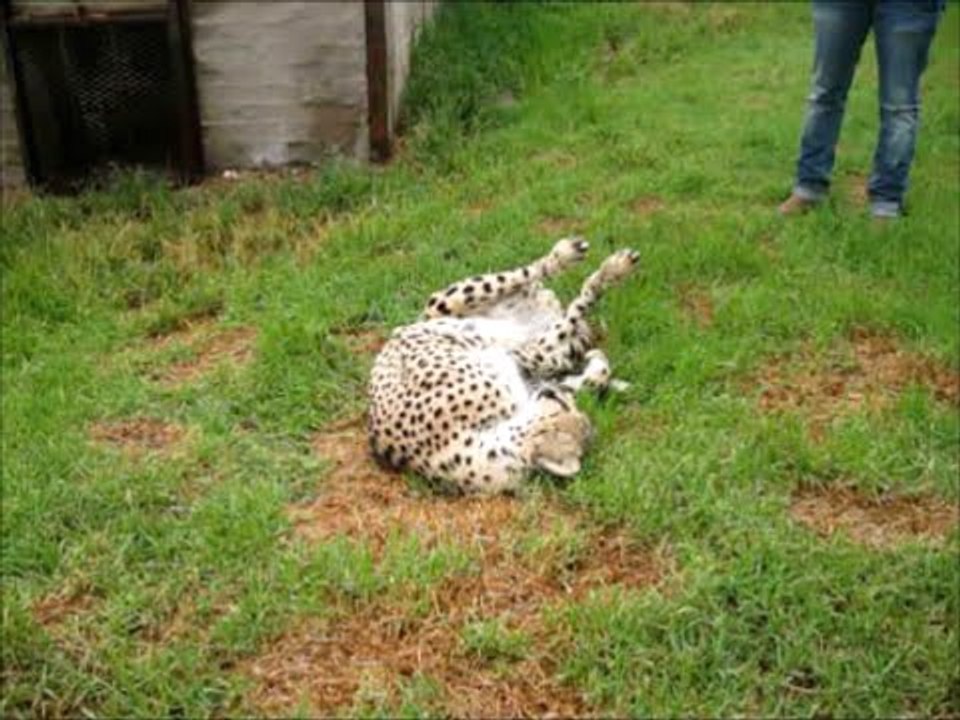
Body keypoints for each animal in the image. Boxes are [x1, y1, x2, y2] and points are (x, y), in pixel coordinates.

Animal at [368, 238, 640, 493]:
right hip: (447, 301)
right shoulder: (528, 357)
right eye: (562, 405)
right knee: (535, 278)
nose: (551, 393)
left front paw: (599, 367)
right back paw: (589, 261)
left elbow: (591, 376)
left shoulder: (532, 371)